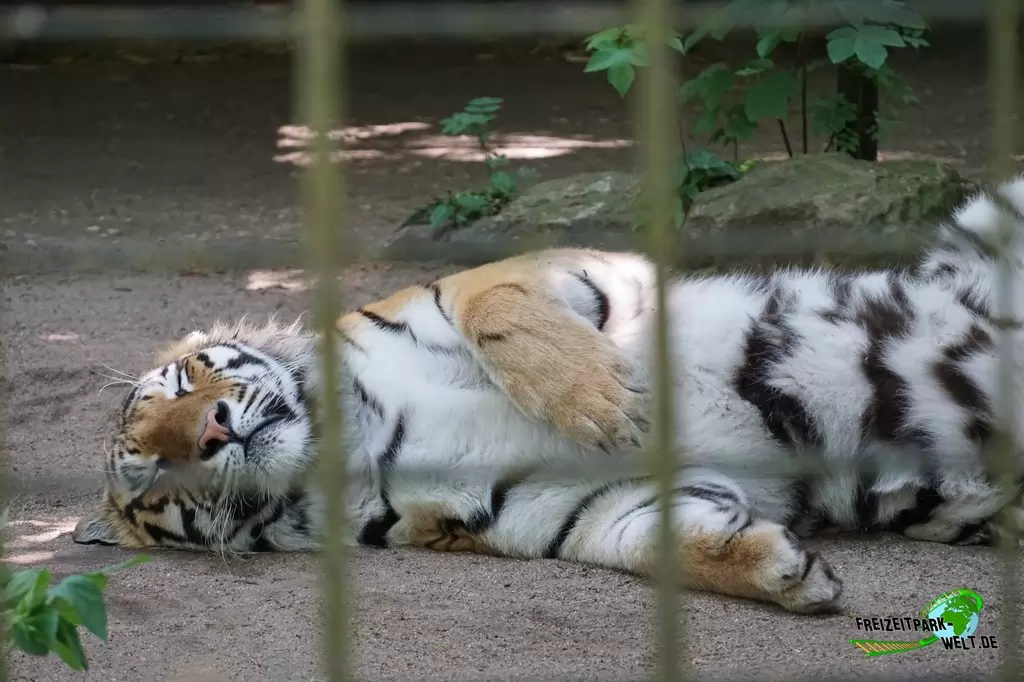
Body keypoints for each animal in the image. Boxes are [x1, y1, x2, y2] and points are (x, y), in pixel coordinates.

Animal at [73, 176, 1024, 614]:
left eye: (186, 380)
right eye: (150, 473)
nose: (212, 431)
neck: (359, 439)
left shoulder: (569, 271)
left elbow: (493, 303)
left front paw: (603, 400)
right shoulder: (575, 507)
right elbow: (656, 542)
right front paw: (784, 573)